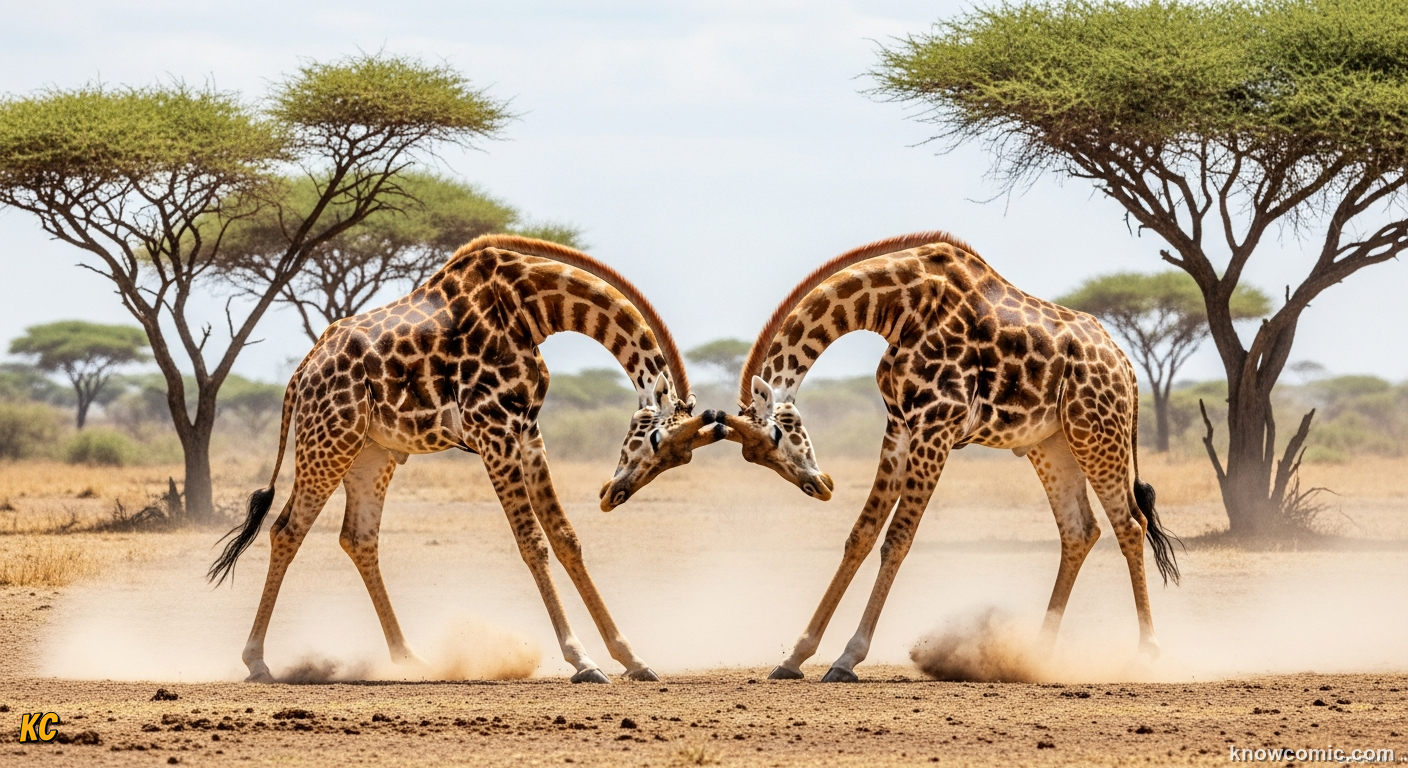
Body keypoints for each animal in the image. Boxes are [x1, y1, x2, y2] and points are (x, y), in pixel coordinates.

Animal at [208, 234, 717, 684]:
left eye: (680, 460)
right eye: (654, 440)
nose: (614, 495)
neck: (531, 308)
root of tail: (300, 374)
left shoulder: (527, 432)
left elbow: (566, 538)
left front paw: (631, 658)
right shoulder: (492, 429)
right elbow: (532, 542)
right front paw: (582, 660)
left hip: (371, 454)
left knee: (358, 538)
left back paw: (410, 658)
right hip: (328, 441)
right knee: (287, 530)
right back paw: (257, 662)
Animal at [716, 231, 1180, 682]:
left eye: (779, 431)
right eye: (753, 457)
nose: (818, 486)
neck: (898, 307)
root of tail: (1127, 367)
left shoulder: (936, 426)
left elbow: (897, 539)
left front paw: (847, 658)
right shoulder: (900, 427)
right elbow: (860, 535)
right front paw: (796, 655)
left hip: (1096, 434)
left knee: (1129, 525)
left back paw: (1147, 652)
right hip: (1053, 445)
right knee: (1080, 531)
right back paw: (1038, 654)